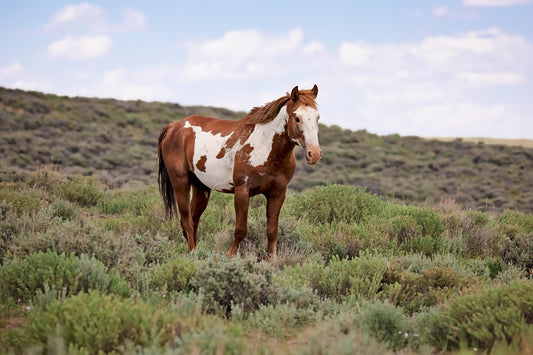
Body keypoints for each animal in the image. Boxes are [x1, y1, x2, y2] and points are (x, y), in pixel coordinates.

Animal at [156, 85, 322, 260]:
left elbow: (272, 230)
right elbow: (241, 230)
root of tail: (174, 126)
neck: (266, 149)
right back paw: (194, 254)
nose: (314, 154)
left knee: (193, 222)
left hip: (201, 189)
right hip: (180, 183)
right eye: (297, 118)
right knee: (186, 221)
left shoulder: (277, 194)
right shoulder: (242, 191)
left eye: (317, 117)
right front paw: (229, 255)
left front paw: (271, 261)